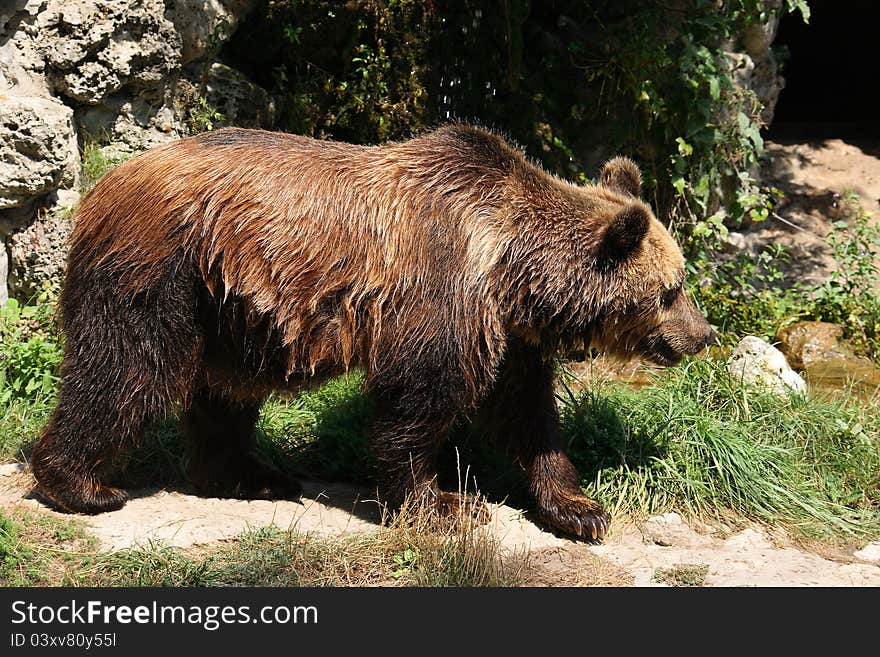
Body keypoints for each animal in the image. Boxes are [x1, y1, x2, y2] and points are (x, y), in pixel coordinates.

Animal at [31, 123, 716, 540]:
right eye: (671, 290)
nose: (702, 335)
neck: (512, 271)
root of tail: (102, 186)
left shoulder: (511, 336)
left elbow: (527, 416)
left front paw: (579, 509)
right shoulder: (443, 292)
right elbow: (417, 400)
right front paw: (445, 503)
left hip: (234, 306)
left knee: (225, 392)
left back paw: (253, 475)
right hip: (163, 274)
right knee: (128, 369)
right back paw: (81, 484)